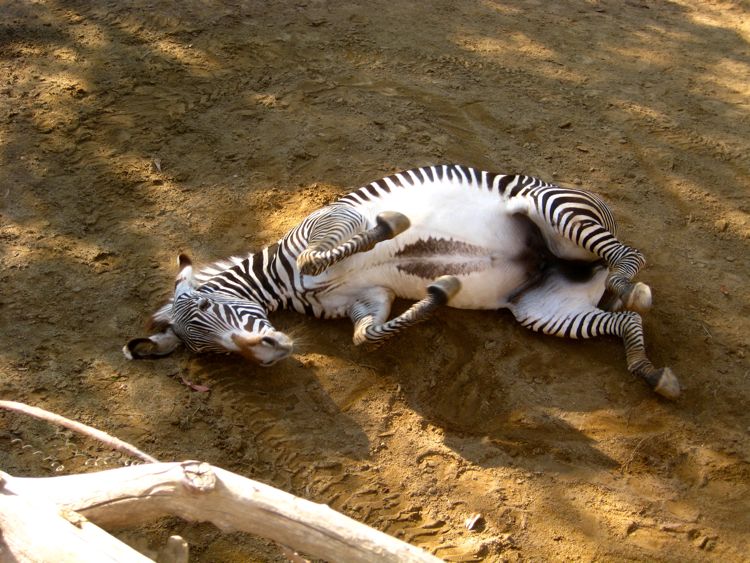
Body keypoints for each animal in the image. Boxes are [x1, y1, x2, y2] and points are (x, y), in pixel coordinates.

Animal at [123, 164, 680, 400]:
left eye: (207, 307)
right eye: (212, 354)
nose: (268, 353)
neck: (282, 284)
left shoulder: (332, 224)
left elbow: (314, 255)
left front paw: (390, 226)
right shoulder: (368, 300)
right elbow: (366, 336)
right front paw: (437, 294)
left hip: (549, 207)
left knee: (630, 256)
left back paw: (629, 285)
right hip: (542, 310)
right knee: (625, 322)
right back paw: (652, 372)